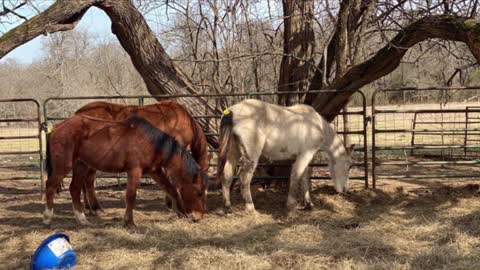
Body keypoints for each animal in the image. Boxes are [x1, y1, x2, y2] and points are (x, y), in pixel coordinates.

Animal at [44, 114, 208, 226]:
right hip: (63, 165)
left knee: (75, 189)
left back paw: (82, 219)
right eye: (199, 193)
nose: (199, 217)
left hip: (81, 165)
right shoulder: (134, 170)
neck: (150, 142)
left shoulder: (155, 171)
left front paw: (180, 212)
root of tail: (57, 127)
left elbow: (171, 189)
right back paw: (48, 217)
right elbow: (131, 196)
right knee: (50, 186)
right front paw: (129, 222)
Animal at [70, 100, 209, 216]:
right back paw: (96, 208)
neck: (183, 120)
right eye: (200, 192)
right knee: (89, 181)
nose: (201, 212)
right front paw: (171, 204)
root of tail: (78, 113)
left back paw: (87, 207)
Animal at [216, 98, 354, 213]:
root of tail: (231, 112)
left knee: (227, 175)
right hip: (251, 155)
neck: (316, 125)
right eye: (349, 166)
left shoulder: (301, 157)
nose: (344, 190)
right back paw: (250, 208)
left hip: (233, 152)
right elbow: (296, 176)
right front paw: (291, 205)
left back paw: (227, 207)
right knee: (244, 178)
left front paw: (309, 204)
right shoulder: (305, 154)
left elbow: (304, 178)